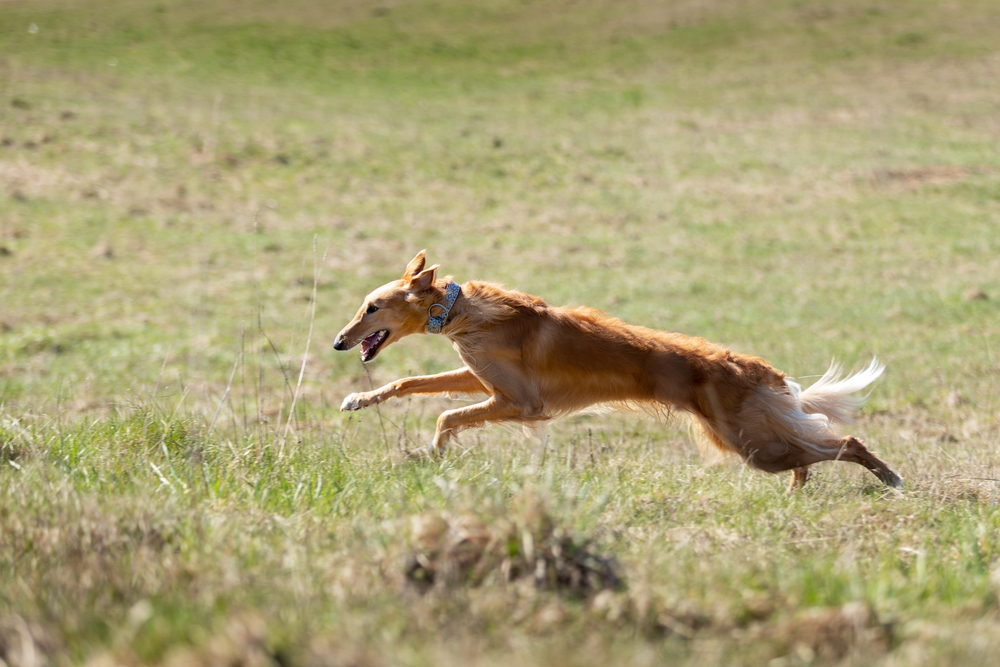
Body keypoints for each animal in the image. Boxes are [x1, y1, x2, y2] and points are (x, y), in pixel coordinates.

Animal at [332, 252, 904, 490]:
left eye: (372, 307)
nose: (339, 342)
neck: (463, 312)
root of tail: (765, 372)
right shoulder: (484, 380)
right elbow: (409, 384)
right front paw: (358, 400)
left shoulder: (520, 403)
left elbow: (445, 418)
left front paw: (430, 454)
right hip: (750, 439)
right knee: (810, 455)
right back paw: (797, 493)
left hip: (748, 442)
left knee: (844, 442)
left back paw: (890, 478)